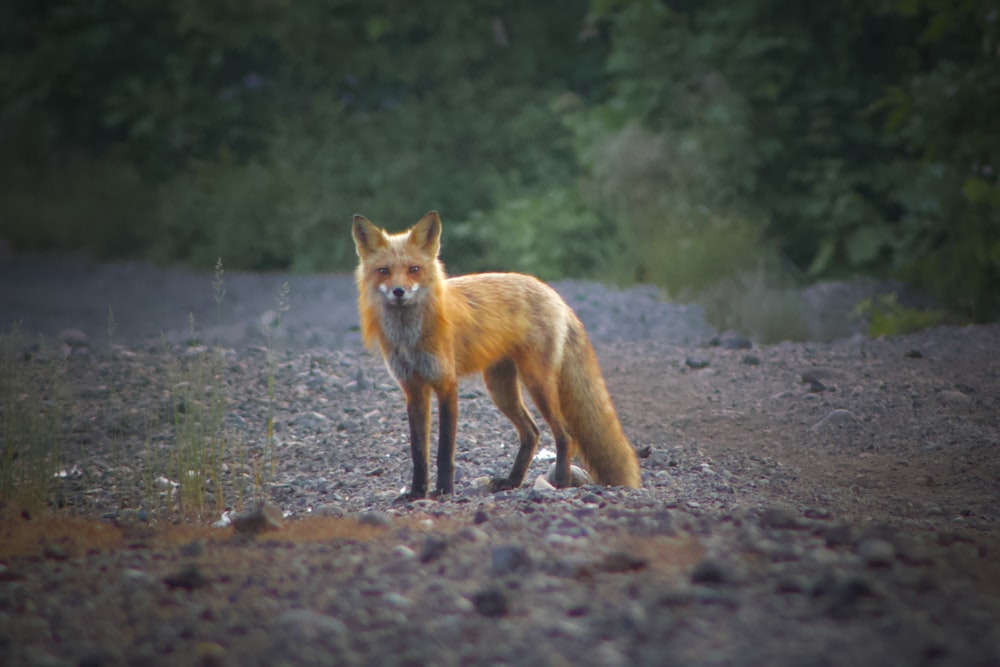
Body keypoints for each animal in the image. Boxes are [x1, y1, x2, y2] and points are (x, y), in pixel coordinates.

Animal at [352, 211, 640, 498]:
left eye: (414, 269)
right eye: (384, 271)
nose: (398, 292)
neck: (409, 337)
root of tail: (554, 295)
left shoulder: (446, 384)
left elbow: (444, 449)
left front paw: (443, 490)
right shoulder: (413, 389)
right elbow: (418, 452)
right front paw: (416, 493)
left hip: (536, 383)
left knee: (564, 434)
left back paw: (560, 480)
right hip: (500, 389)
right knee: (531, 433)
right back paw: (512, 481)